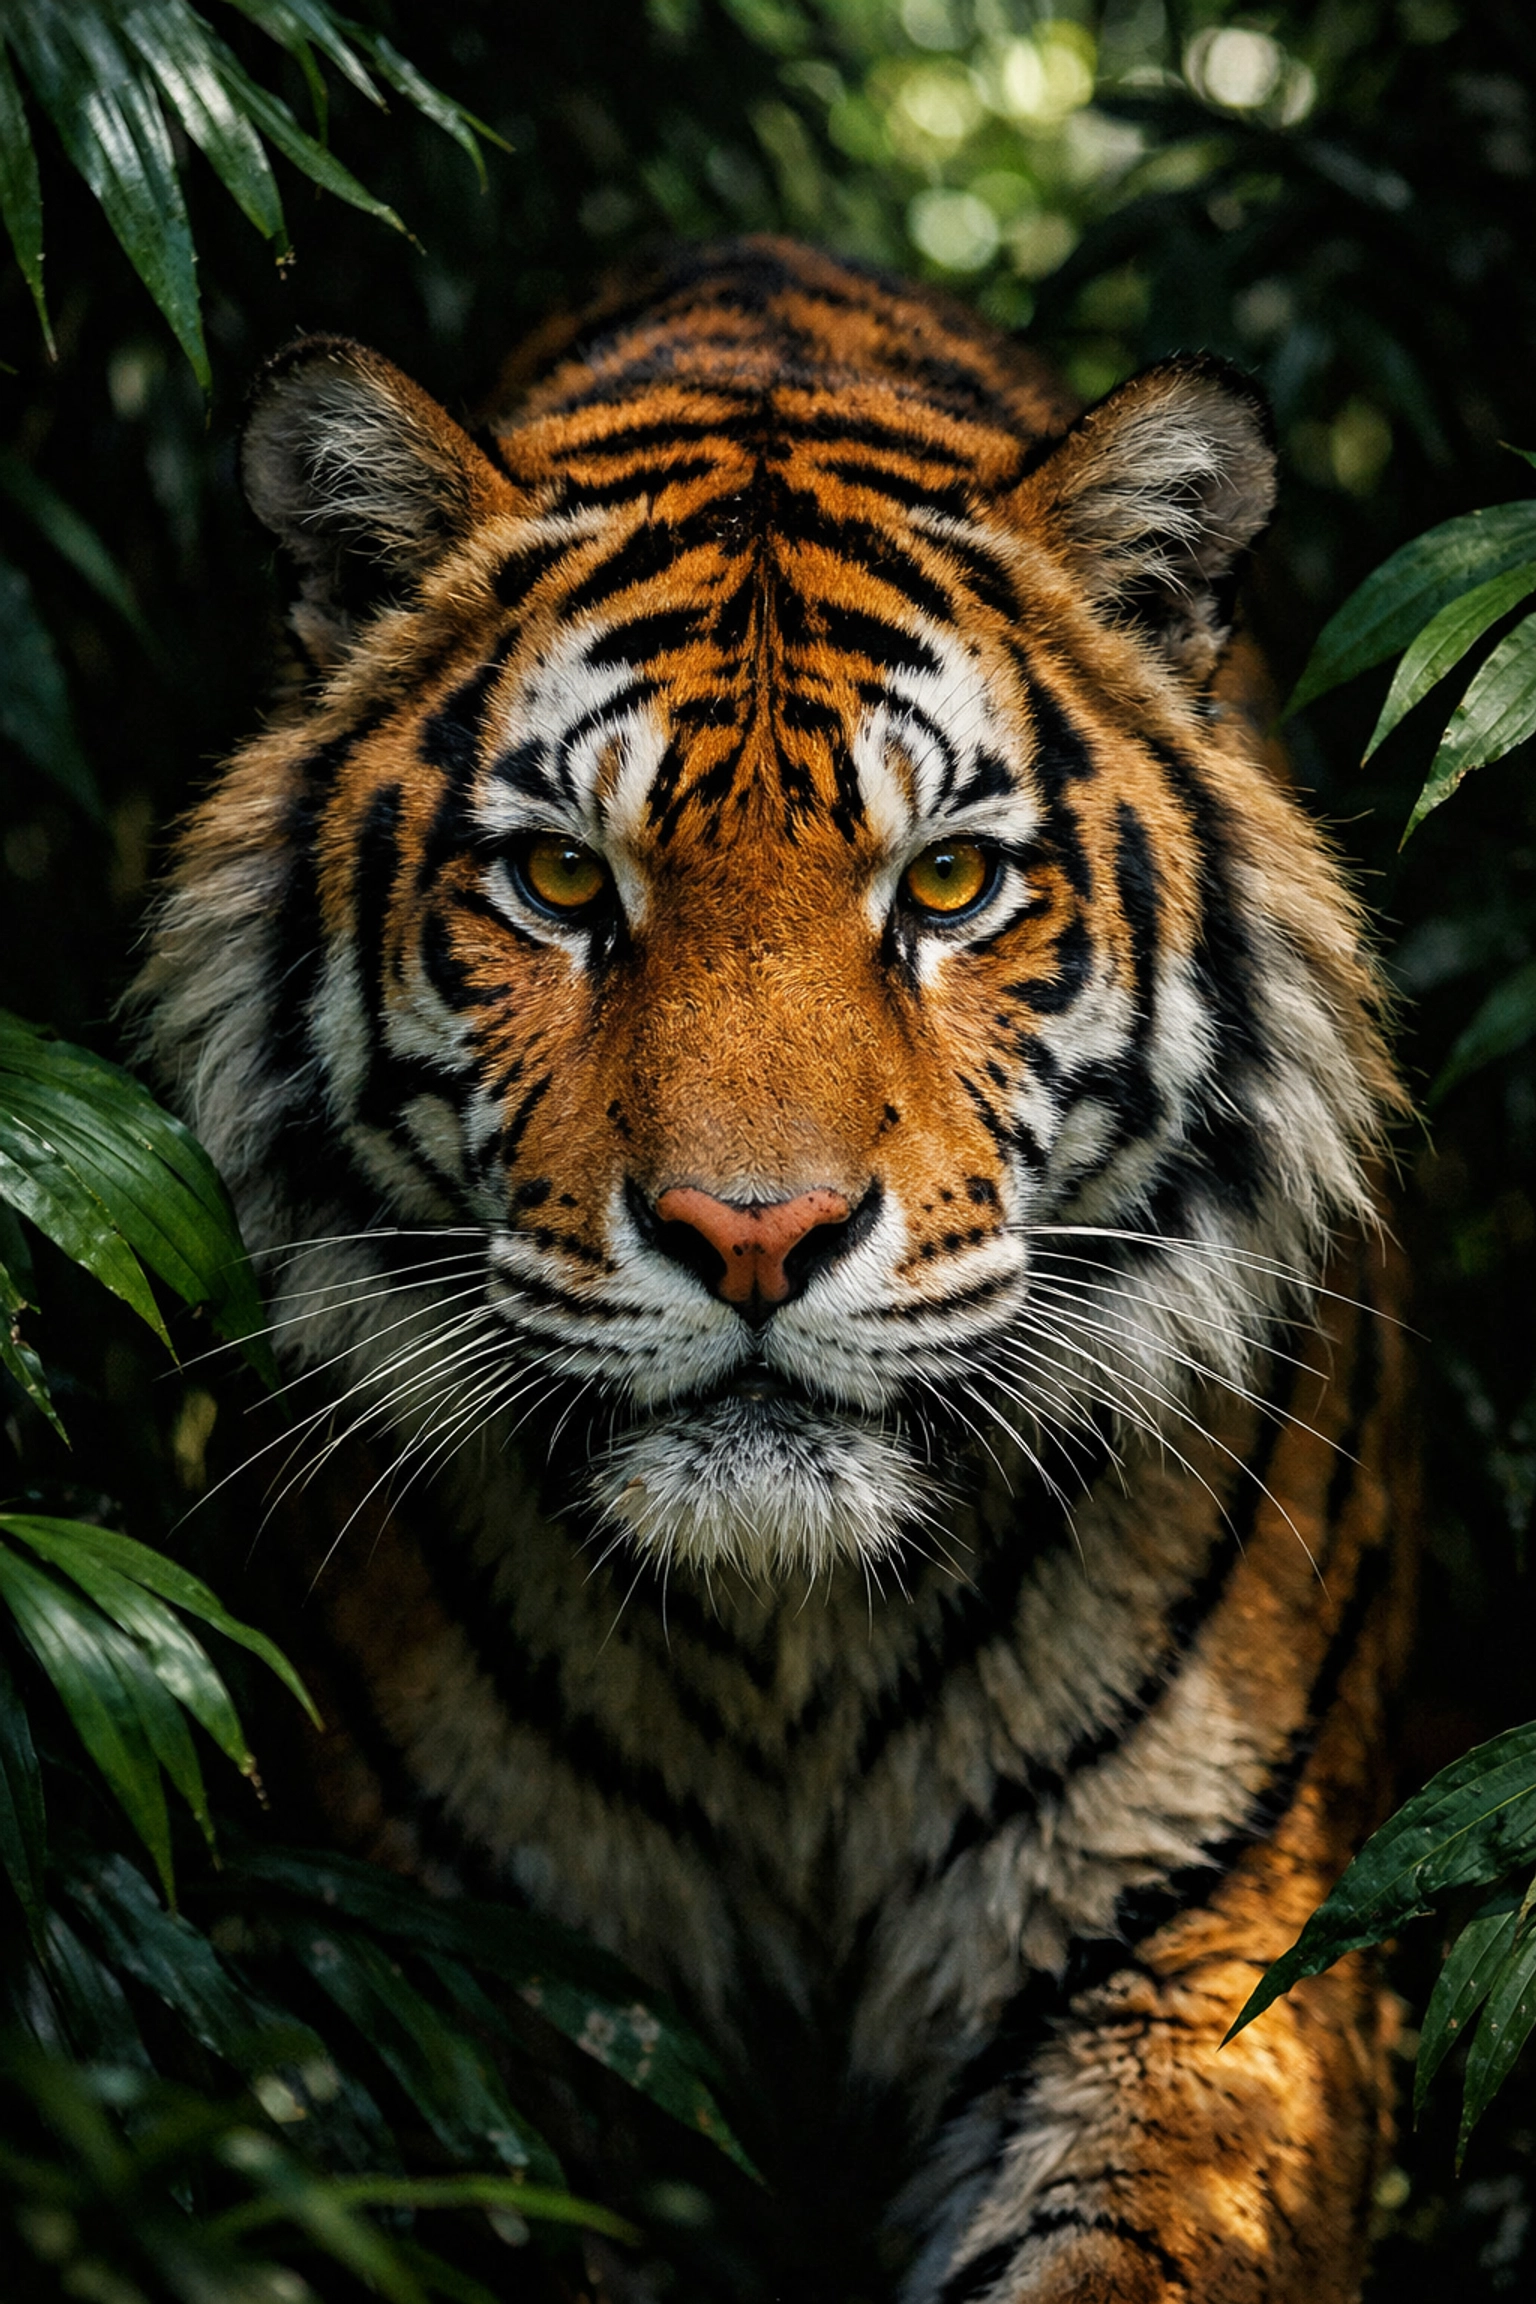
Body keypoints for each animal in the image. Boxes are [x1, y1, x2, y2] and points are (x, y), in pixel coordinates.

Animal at [137, 238, 1415, 2302]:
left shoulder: (1200, 1960)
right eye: (563, 882)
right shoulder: (458, 1971)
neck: (784, 1646)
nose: (755, 1232)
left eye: (950, 881)